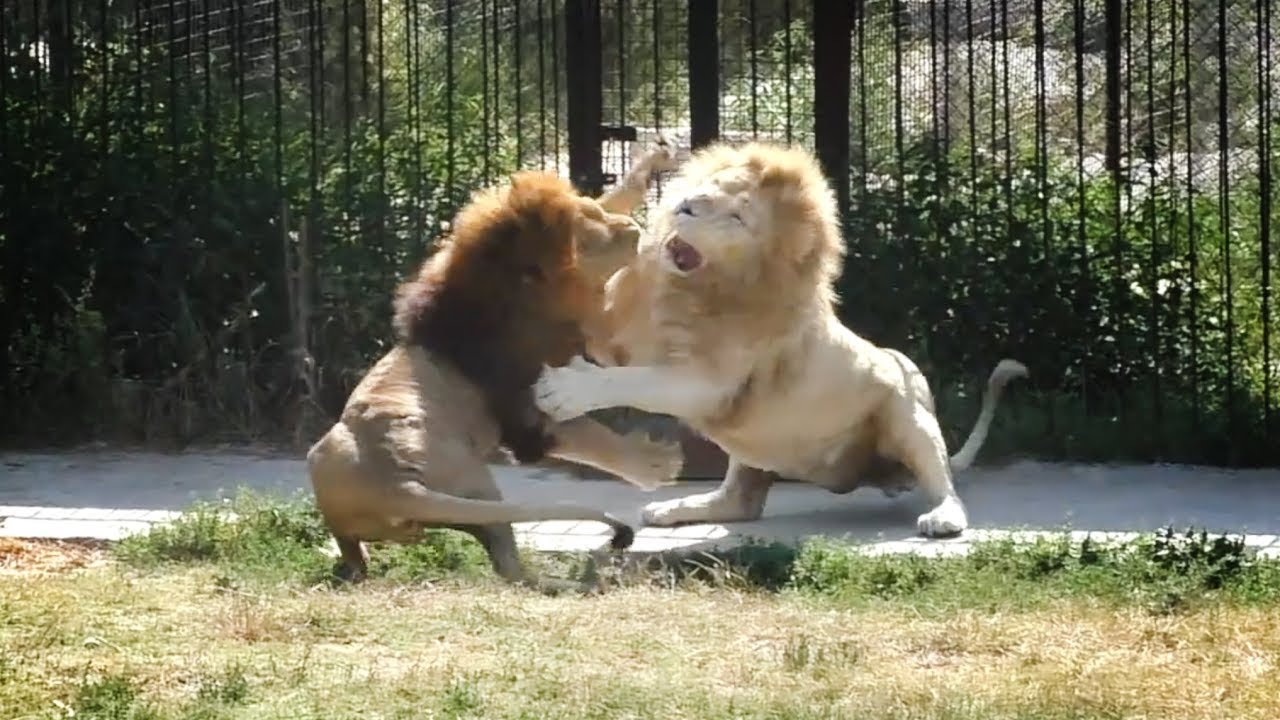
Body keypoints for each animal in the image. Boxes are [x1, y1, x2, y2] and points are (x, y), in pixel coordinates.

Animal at [307, 146, 684, 590]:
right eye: (586, 233)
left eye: (591, 210)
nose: (632, 228)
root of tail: (394, 484)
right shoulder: (524, 410)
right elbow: (594, 437)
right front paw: (657, 464)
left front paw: (654, 159)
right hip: (477, 486)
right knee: (512, 569)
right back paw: (583, 584)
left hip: (326, 464)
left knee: (358, 557)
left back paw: (346, 563)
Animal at [533, 141, 1027, 538]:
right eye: (711, 186)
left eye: (737, 216)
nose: (687, 205)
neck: (694, 289)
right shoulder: (616, 334)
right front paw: (643, 172)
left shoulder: (709, 384)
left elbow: (635, 380)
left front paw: (564, 390)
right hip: (752, 452)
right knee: (742, 502)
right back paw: (674, 508)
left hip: (909, 412)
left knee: (943, 482)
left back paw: (944, 518)